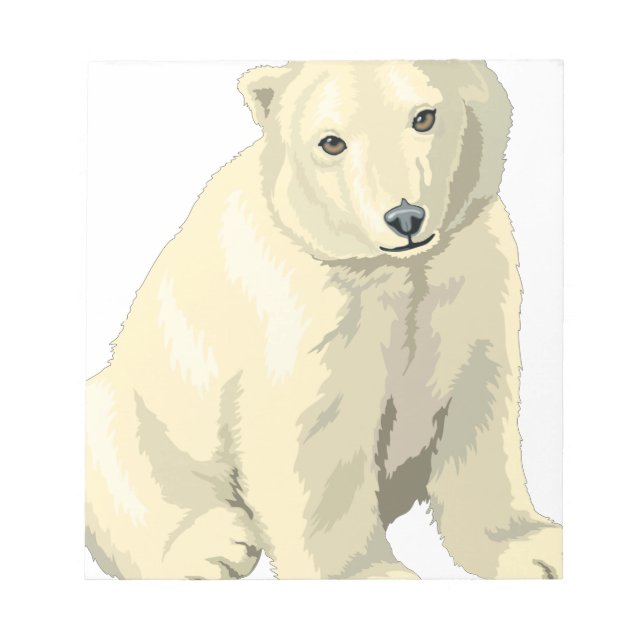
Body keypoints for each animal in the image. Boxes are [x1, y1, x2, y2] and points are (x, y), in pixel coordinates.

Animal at [86, 60, 563, 579]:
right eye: (331, 142)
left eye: (424, 116)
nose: (405, 217)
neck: (394, 268)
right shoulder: (309, 306)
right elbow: (317, 435)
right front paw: (371, 574)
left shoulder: (472, 271)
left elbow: (479, 411)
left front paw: (536, 549)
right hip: (148, 404)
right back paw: (214, 549)